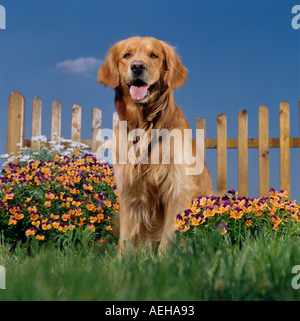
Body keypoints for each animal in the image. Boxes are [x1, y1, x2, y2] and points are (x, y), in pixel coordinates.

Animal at [97, 37, 212, 252]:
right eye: (127, 55)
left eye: (153, 55)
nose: (137, 66)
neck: (144, 125)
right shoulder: (128, 188)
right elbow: (126, 235)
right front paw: (121, 260)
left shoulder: (177, 188)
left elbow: (169, 234)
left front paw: (165, 258)